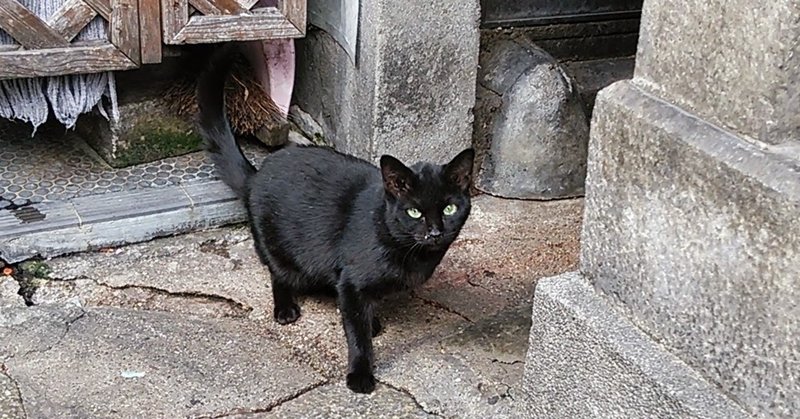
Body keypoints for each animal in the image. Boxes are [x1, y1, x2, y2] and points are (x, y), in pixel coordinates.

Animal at [196, 45, 472, 394]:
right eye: (414, 211)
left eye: (449, 208)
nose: (436, 231)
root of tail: (256, 176)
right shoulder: (353, 280)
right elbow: (357, 335)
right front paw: (360, 374)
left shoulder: (352, 282)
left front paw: (369, 322)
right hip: (280, 249)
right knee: (279, 274)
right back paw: (285, 308)